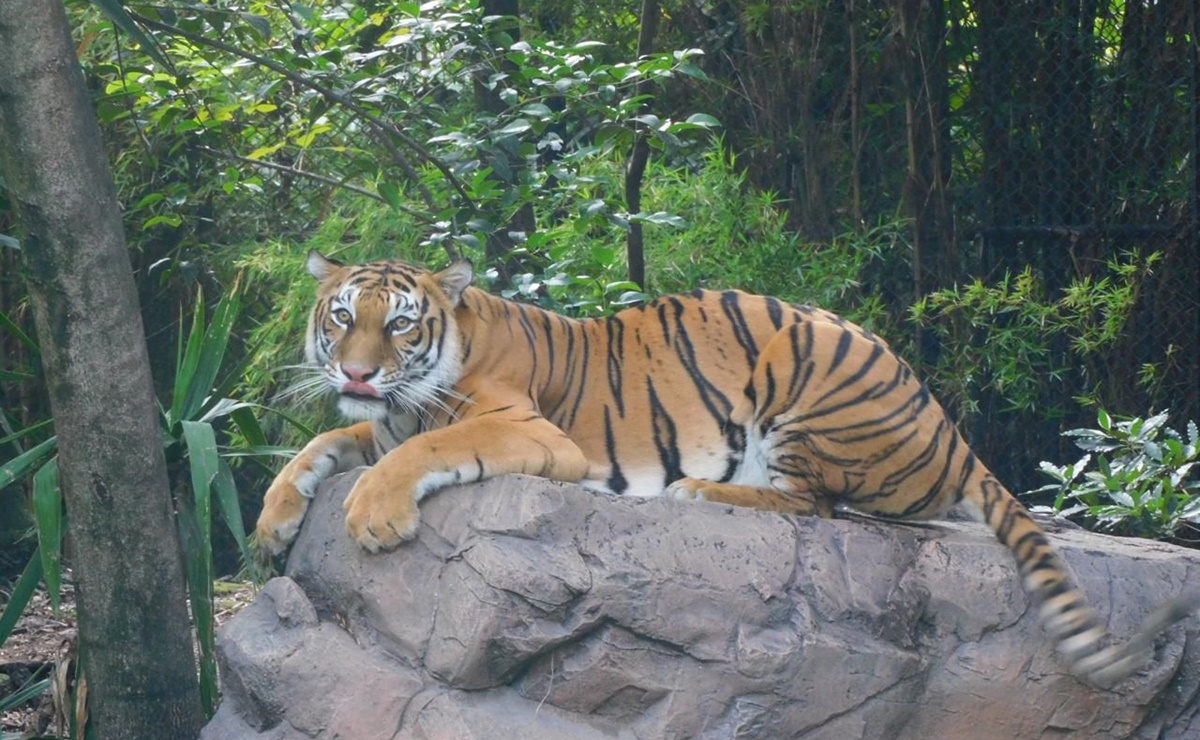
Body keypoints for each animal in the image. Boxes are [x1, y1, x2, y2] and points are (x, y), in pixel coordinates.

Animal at [255, 250, 1200, 686]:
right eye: (340, 317)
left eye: (400, 324)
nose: (357, 374)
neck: (408, 395)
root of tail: (952, 428)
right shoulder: (373, 426)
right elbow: (313, 450)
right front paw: (271, 528)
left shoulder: (527, 431)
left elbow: (426, 451)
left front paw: (374, 516)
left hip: (805, 362)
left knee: (818, 506)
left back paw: (702, 485)